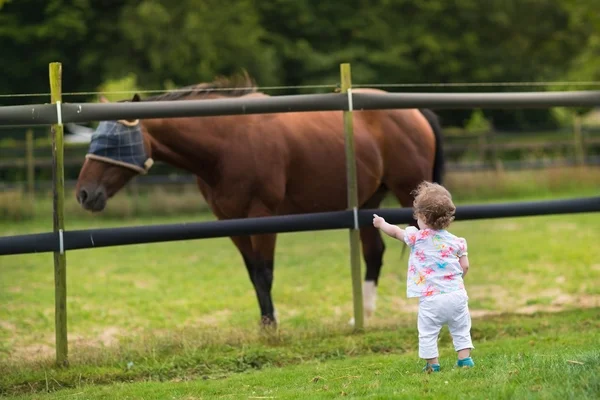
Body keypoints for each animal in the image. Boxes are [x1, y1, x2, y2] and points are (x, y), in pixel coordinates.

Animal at [72, 72, 442, 328]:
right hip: (367, 203)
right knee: (373, 254)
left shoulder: (263, 216)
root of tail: (415, 111)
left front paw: (272, 327)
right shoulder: (230, 221)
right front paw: (264, 324)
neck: (226, 142)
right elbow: (252, 273)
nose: (84, 193)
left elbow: (264, 272)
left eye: (115, 142)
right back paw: (360, 317)